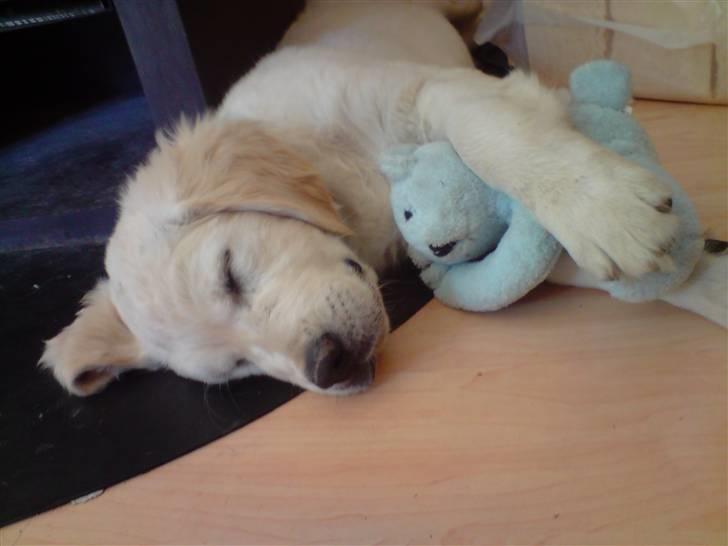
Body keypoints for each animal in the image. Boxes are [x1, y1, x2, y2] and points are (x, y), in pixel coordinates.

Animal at [41, 3, 724, 396]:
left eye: (229, 272)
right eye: (236, 367)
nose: (328, 367)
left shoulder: (426, 91)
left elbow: (494, 136)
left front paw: (601, 209)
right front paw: (705, 279)